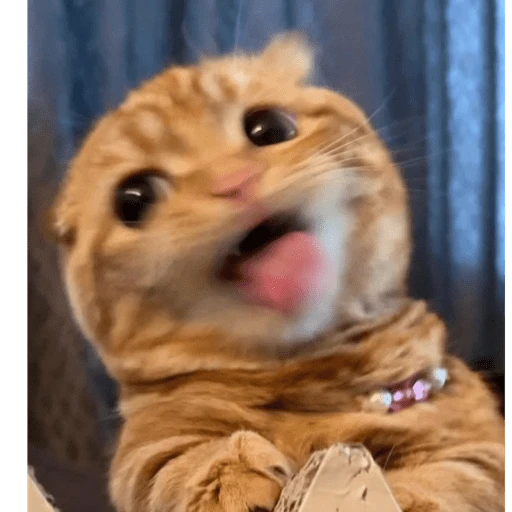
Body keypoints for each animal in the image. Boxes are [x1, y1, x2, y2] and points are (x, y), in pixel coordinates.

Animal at [51, 33, 505, 512]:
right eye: (133, 198)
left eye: (268, 127)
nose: (235, 181)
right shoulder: (146, 447)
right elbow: (179, 460)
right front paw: (230, 475)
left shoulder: (477, 449)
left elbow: (450, 478)